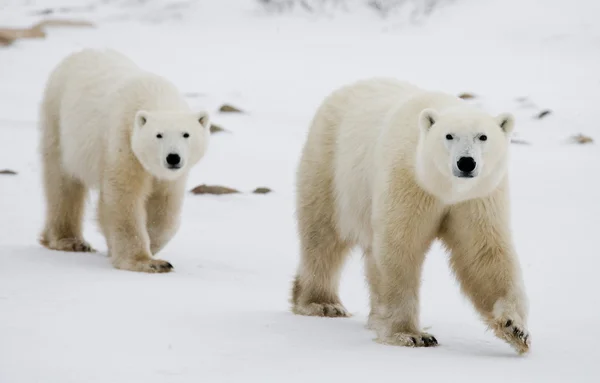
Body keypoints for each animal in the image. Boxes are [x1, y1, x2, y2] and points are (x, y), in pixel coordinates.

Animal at [38, 49, 211, 274]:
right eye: (158, 135)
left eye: (186, 134)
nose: (173, 157)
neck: (156, 95)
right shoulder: (123, 141)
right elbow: (124, 197)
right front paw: (147, 261)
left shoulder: (171, 176)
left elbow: (165, 205)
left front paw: (151, 245)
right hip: (58, 119)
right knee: (62, 182)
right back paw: (69, 240)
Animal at [290, 79, 528, 356]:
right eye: (449, 136)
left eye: (483, 136)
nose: (466, 162)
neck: (444, 189)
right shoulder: (408, 182)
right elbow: (400, 246)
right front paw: (411, 335)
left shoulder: (477, 197)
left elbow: (483, 252)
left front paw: (515, 328)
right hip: (330, 165)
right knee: (323, 235)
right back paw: (322, 303)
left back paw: (372, 318)